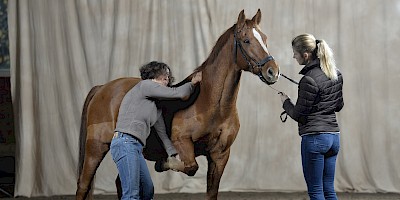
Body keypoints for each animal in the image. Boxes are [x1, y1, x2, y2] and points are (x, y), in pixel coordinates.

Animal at [76, 9, 280, 200]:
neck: (211, 104)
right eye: (246, 40)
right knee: (83, 185)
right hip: (95, 148)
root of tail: (102, 88)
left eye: (265, 39)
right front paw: (165, 163)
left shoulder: (220, 155)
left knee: (122, 183)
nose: (273, 72)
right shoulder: (183, 143)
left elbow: (211, 192)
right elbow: (190, 167)